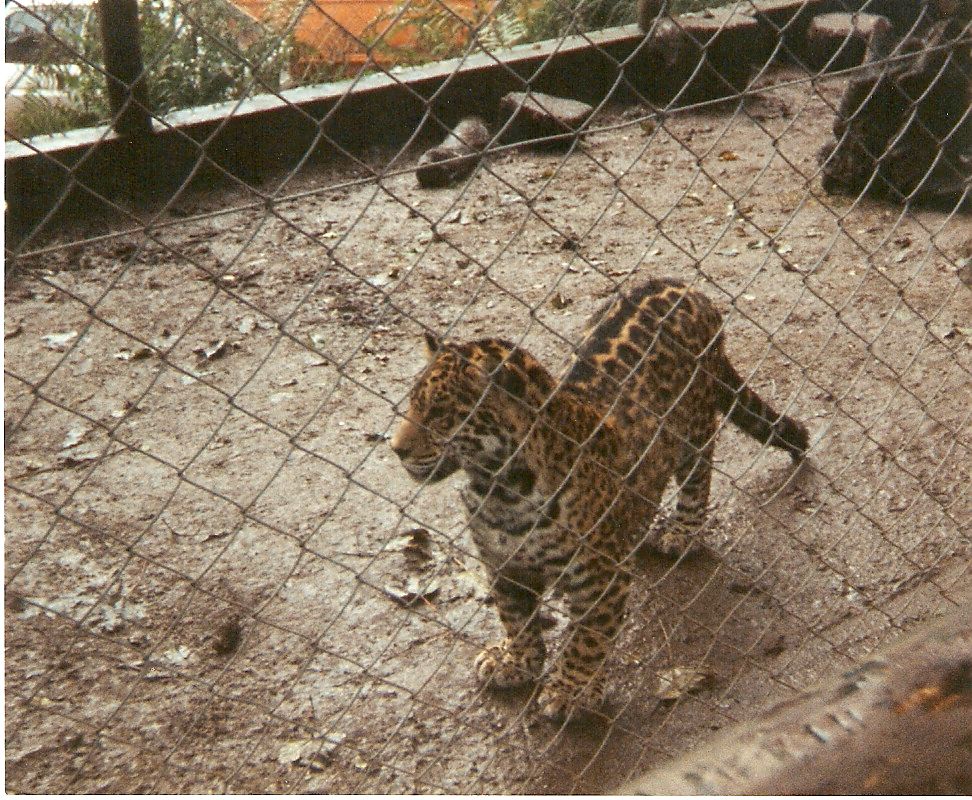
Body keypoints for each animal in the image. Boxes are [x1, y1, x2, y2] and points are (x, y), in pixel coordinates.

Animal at [390, 277, 809, 720]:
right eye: (412, 404)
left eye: (440, 414)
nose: (395, 449)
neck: (500, 488)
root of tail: (684, 286)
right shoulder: (502, 564)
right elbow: (515, 617)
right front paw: (516, 660)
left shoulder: (598, 574)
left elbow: (587, 636)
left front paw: (571, 689)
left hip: (693, 426)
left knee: (699, 475)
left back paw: (682, 531)